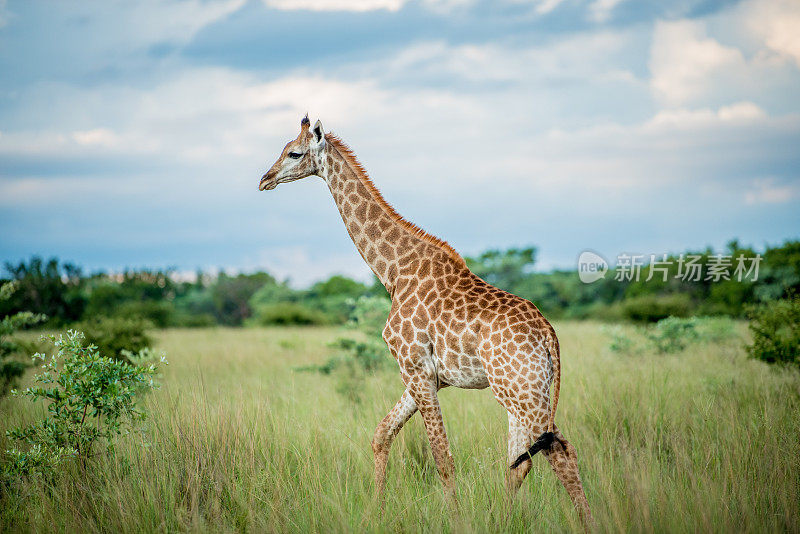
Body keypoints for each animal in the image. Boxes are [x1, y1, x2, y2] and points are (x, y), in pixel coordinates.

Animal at [260, 117, 592, 528]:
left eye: (294, 153)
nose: (265, 179)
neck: (394, 272)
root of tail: (549, 334)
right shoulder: (425, 374)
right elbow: (382, 434)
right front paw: (375, 514)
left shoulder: (415, 368)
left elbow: (441, 456)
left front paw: (455, 521)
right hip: (524, 391)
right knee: (520, 462)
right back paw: (502, 521)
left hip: (520, 389)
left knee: (560, 453)